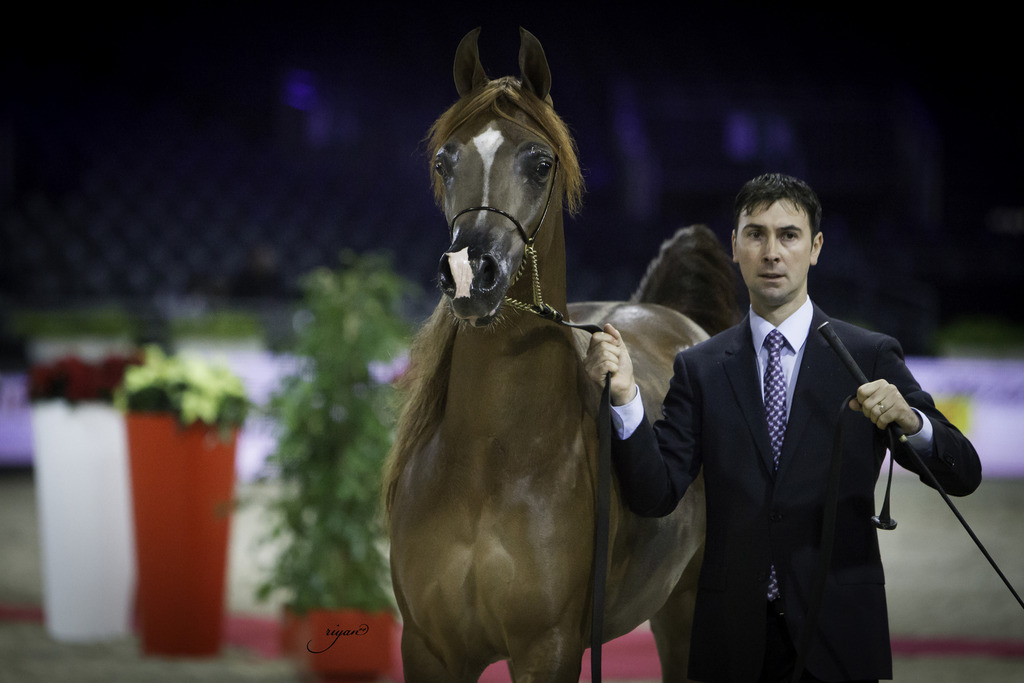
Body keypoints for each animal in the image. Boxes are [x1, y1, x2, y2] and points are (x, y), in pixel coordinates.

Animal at [382, 27, 738, 682]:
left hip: (688, 609)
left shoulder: (548, 649)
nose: (469, 274)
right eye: (445, 161)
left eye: (540, 162)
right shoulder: (428, 649)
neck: (489, 465)